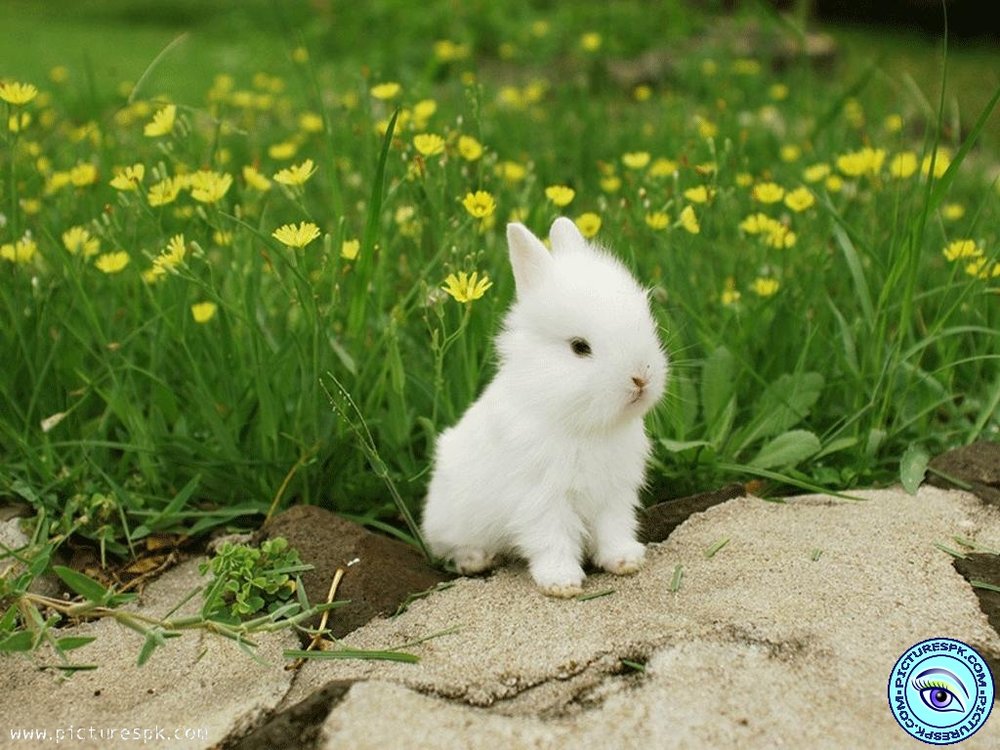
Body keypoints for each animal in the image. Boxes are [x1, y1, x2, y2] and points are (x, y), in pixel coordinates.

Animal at [422, 217, 668, 597]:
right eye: (580, 347)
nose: (641, 377)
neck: (581, 424)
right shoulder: (541, 499)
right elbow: (553, 539)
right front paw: (561, 583)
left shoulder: (613, 493)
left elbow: (614, 528)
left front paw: (625, 561)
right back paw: (476, 560)